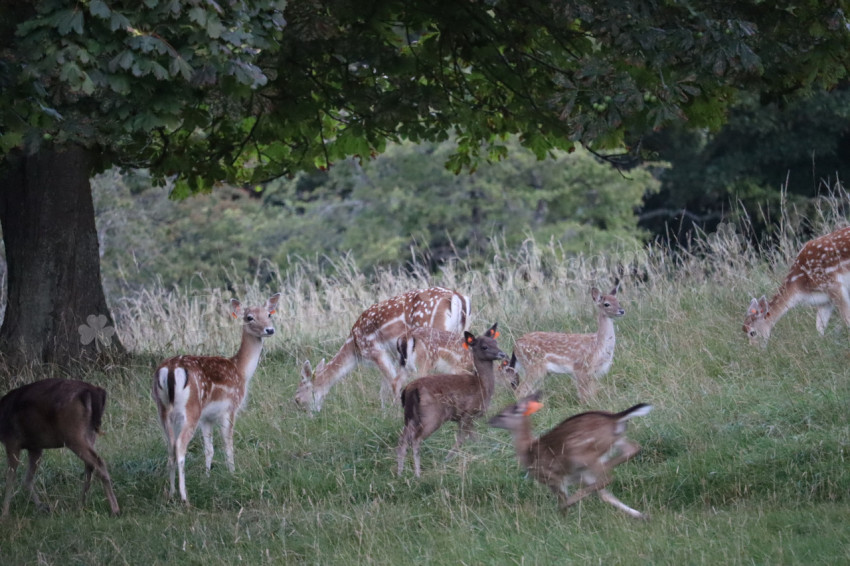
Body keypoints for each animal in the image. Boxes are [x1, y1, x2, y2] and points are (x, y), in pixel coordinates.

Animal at [0, 378, 121, 520]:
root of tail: (94, 391)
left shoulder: (12, 440)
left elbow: (10, 478)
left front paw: (4, 514)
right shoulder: (35, 446)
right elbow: (27, 479)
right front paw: (42, 507)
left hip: (73, 433)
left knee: (98, 462)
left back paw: (114, 509)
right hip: (89, 433)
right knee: (90, 465)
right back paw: (80, 505)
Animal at [154, 296, 280, 504]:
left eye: (269, 314)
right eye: (249, 317)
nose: (269, 330)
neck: (241, 372)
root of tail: (171, 370)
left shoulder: (207, 417)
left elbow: (209, 449)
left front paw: (207, 476)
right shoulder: (230, 407)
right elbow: (228, 444)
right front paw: (233, 473)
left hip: (163, 410)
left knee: (170, 447)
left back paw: (170, 493)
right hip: (191, 409)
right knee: (180, 447)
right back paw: (184, 497)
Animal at [294, 288, 470, 412]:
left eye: (297, 396)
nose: (309, 416)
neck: (354, 348)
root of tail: (456, 296)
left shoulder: (374, 350)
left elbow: (392, 382)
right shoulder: (391, 354)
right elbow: (383, 388)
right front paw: (384, 412)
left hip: (432, 333)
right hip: (458, 331)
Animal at [396, 328, 506, 480]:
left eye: (495, 342)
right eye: (484, 346)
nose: (503, 354)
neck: (482, 386)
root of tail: (410, 389)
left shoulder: (464, 418)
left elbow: (470, 438)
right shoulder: (468, 413)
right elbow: (464, 438)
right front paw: (449, 458)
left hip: (409, 416)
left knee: (403, 439)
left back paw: (399, 473)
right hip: (432, 415)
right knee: (416, 439)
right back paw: (418, 474)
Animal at [484, 392, 648, 520]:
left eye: (502, 414)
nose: (489, 421)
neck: (527, 451)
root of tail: (615, 418)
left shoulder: (551, 477)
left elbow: (563, 499)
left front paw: (563, 516)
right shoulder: (582, 478)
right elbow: (606, 495)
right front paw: (639, 515)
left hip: (582, 453)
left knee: (607, 476)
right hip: (615, 441)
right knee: (632, 449)